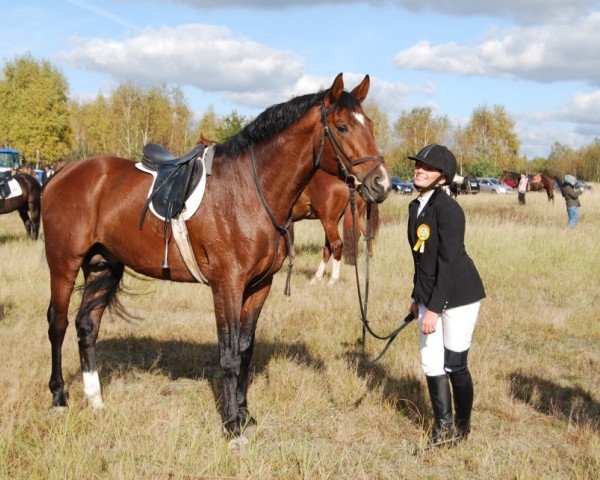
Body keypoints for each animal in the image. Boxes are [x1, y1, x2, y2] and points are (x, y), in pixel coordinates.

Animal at [41, 74, 390, 442]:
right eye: (342, 126)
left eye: (370, 124)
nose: (381, 183)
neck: (250, 191)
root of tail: (62, 173)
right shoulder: (227, 285)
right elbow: (229, 355)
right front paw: (233, 426)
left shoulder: (259, 286)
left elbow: (246, 350)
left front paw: (246, 414)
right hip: (64, 265)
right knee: (58, 324)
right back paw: (59, 398)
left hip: (102, 265)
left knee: (87, 326)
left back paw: (95, 399)